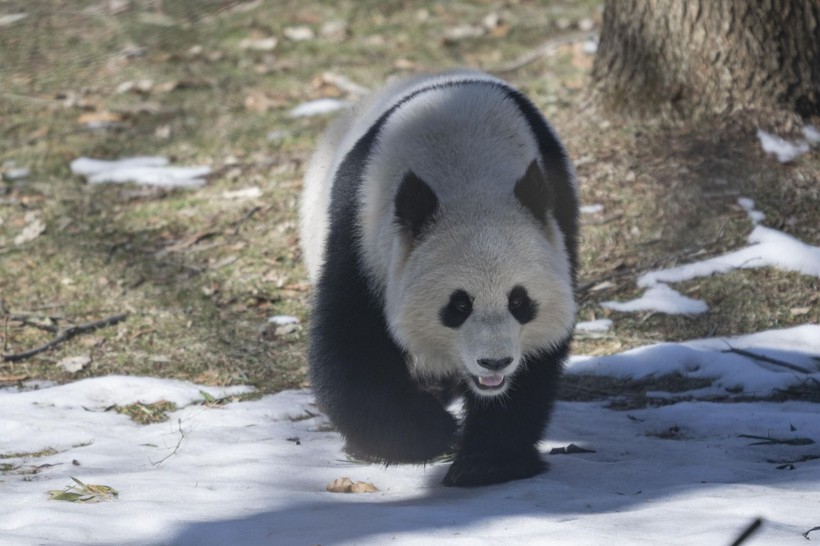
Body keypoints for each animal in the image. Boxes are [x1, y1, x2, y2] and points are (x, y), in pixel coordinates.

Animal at [300, 69, 576, 484]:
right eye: (458, 305)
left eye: (519, 301)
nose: (494, 363)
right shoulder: (362, 234)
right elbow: (350, 342)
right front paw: (428, 433)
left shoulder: (557, 221)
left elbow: (538, 361)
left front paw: (488, 461)